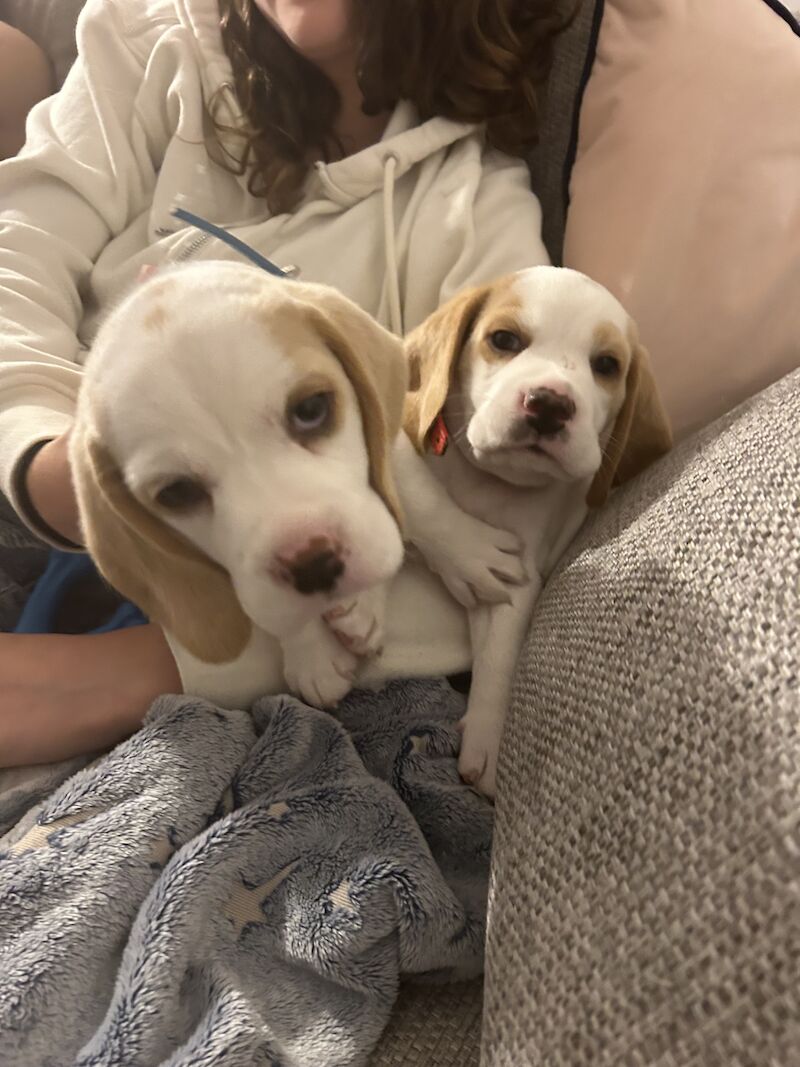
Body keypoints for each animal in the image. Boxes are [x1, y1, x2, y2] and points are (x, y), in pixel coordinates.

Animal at [398, 265, 669, 798]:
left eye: (606, 365)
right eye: (504, 339)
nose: (549, 403)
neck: (487, 480)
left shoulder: (516, 581)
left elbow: (501, 654)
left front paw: (488, 739)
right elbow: (419, 492)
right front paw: (465, 548)